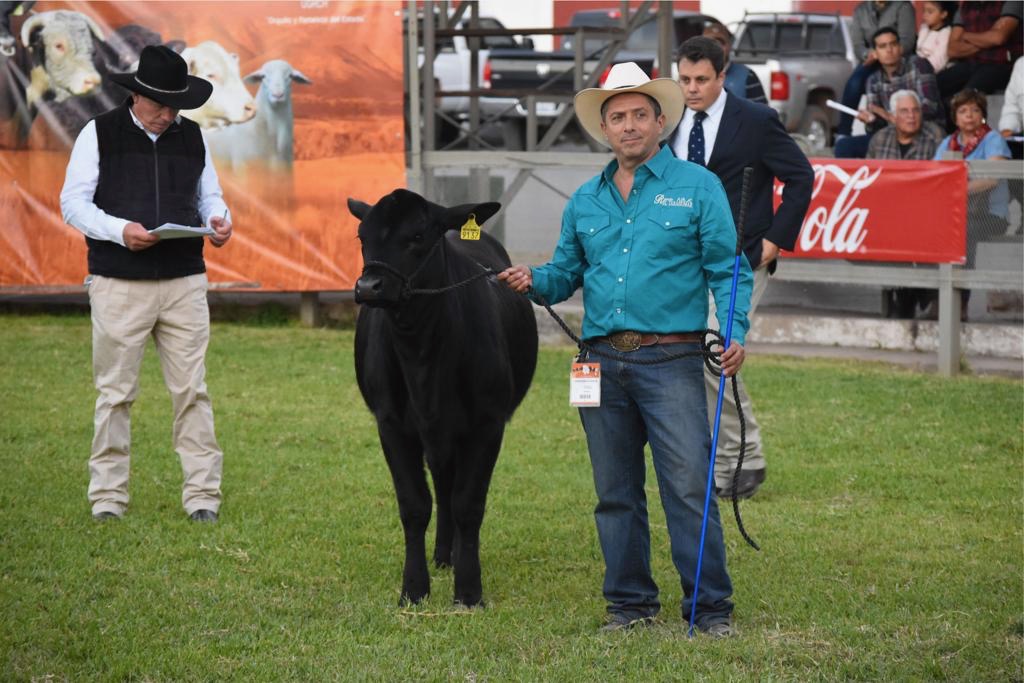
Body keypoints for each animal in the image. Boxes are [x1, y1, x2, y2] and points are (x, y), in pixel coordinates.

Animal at [347, 189, 538, 607]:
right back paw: (442, 555)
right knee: (442, 485)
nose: (368, 286)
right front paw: (414, 587)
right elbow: (415, 504)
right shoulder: (391, 423)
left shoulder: (488, 424)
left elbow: (469, 504)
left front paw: (468, 590)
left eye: (418, 236)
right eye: (361, 236)